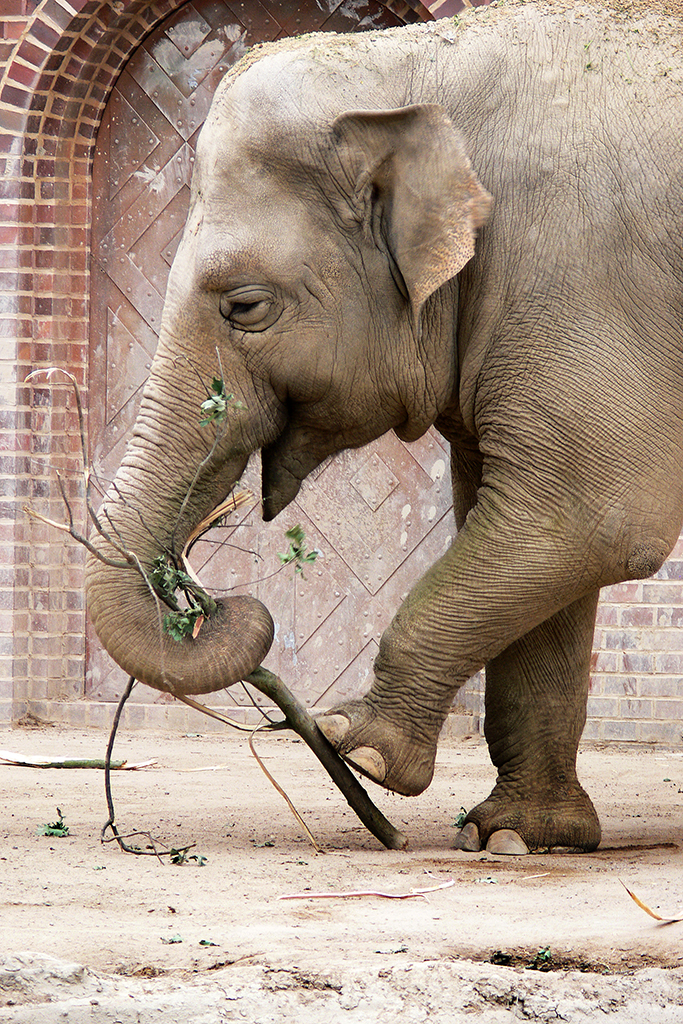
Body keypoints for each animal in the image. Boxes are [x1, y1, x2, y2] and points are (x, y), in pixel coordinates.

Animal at [83, 4, 683, 856]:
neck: (415, 73)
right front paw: (519, 835)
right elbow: (537, 539)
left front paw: (355, 749)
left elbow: (592, 518)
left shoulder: (587, 272)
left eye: (244, 306)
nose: (207, 597)